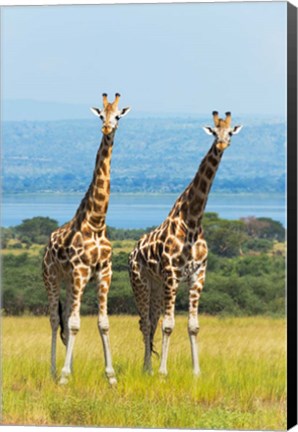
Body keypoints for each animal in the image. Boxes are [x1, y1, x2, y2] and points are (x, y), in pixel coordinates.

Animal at [42, 93, 130, 384]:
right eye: (101, 115)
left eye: (117, 116)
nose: (107, 128)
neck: (97, 221)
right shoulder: (81, 271)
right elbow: (73, 323)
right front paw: (64, 376)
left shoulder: (104, 273)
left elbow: (102, 323)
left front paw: (111, 377)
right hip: (52, 278)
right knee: (55, 320)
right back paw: (54, 370)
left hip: (71, 283)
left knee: (67, 318)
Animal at [128, 110, 242, 374]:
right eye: (214, 131)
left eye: (230, 132)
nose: (222, 144)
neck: (192, 220)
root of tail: (131, 252)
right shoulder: (172, 274)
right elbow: (169, 325)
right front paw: (163, 372)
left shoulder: (198, 274)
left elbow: (193, 325)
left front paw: (196, 371)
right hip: (141, 282)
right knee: (145, 323)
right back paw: (148, 369)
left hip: (157, 286)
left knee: (151, 320)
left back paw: (148, 367)